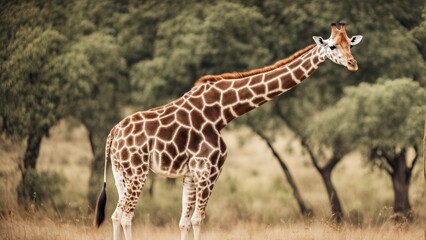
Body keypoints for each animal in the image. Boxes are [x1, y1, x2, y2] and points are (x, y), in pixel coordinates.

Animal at [93, 21, 362, 239]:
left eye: (350, 44)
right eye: (332, 47)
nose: (353, 64)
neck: (223, 112)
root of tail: (112, 134)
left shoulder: (190, 174)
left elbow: (183, 222)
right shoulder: (209, 170)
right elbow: (197, 220)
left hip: (120, 173)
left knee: (116, 215)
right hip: (137, 171)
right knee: (125, 215)